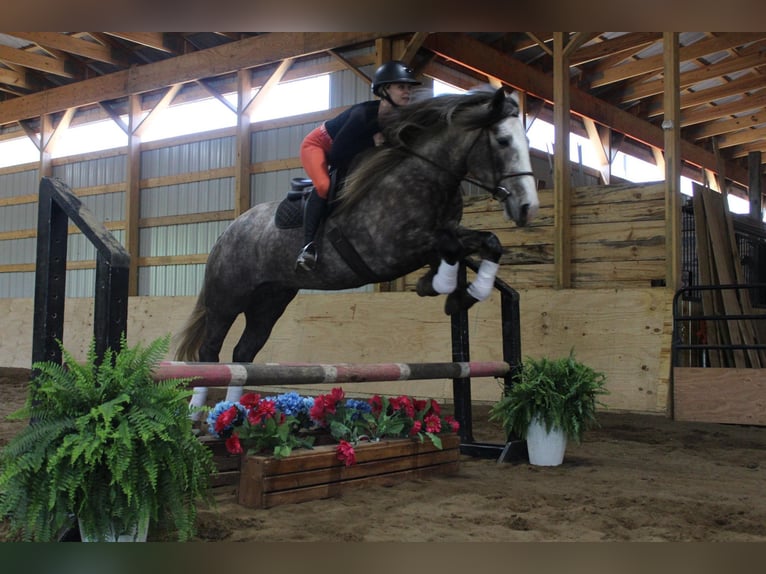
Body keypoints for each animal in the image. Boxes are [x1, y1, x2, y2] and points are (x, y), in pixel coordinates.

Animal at [179, 85, 540, 414]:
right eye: (503, 141)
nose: (527, 207)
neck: (425, 176)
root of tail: (229, 231)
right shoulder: (390, 250)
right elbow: (448, 245)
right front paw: (441, 286)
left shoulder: (443, 236)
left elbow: (487, 242)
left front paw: (457, 293)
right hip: (228, 298)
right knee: (209, 352)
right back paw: (197, 413)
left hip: (270, 301)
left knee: (243, 353)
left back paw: (230, 410)